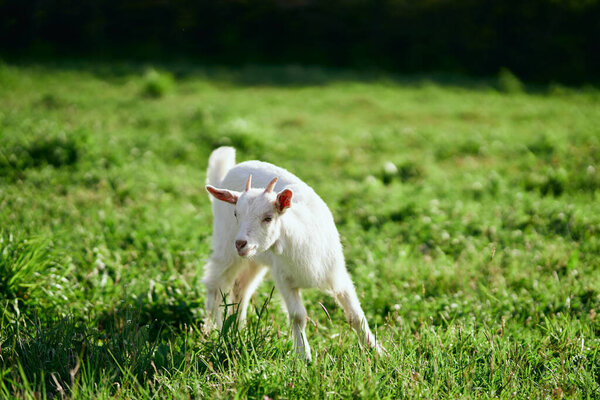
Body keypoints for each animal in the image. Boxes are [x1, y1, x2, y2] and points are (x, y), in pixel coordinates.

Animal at [202, 148, 380, 362]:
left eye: (268, 218)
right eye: (236, 214)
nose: (240, 243)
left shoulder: (337, 274)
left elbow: (356, 316)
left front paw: (376, 351)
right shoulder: (284, 278)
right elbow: (298, 316)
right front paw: (304, 356)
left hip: (254, 260)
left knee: (241, 290)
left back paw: (238, 330)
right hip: (226, 248)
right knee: (215, 286)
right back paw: (212, 330)